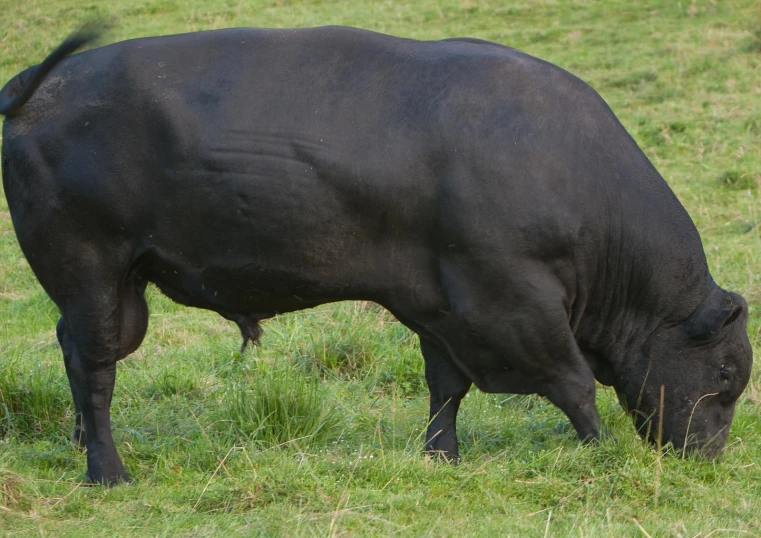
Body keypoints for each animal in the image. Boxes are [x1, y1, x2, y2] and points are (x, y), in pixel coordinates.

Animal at [0, 26, 748, 486]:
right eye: (727, 371)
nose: (711, 457)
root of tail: (41, 83)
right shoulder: (512, 301)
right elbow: (572, 383)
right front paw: (602, 451)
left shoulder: (441, 306)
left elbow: (446, 387)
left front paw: (441, 456)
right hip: (93, 275)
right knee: (94, 372)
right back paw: (108, 471)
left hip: (111, 289)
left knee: (75, 355)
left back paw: (80, 445)